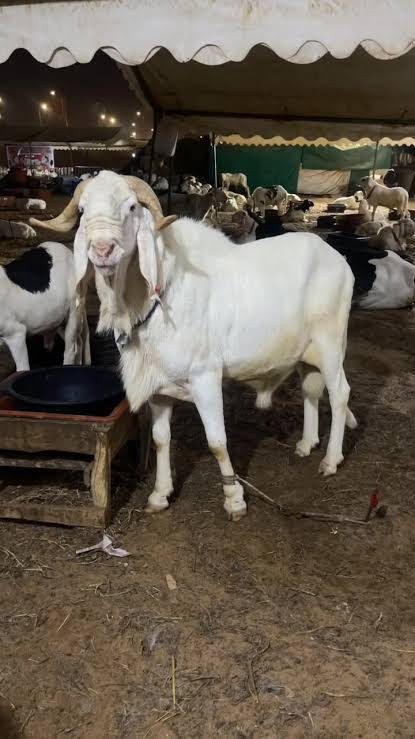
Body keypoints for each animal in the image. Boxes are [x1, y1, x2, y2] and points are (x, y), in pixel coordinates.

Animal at [0, 242, 90, 371]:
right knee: (79, 342)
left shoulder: (16, 333)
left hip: (74, 311)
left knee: (71, 349)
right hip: (59, 319)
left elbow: (23, 369)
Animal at [33, 172, 357, 521]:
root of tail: (338, 259)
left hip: (331, 343)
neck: (156, 298)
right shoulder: (158, 386)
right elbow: (161, 440)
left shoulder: (205, 377)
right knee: (311, 390)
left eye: (131, 206)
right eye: (82, 210)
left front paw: (234, 500)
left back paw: (330, 460)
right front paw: (160, 495)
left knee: (339, 394)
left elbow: (217, 441)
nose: (103, 249)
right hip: (306, 353)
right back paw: (306, 444)